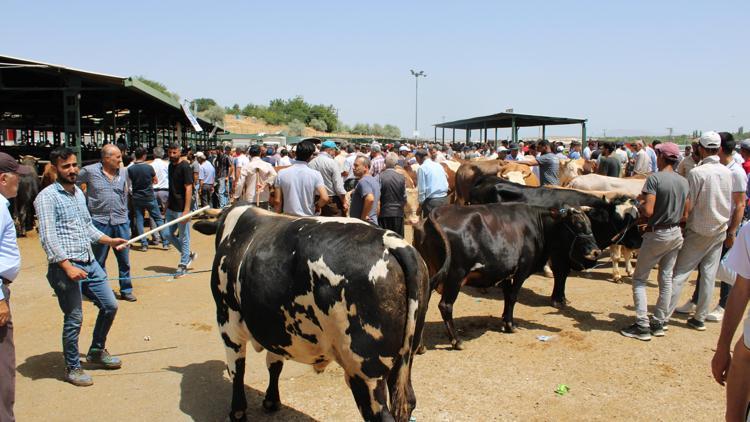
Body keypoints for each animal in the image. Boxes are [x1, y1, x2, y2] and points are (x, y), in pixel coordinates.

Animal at [194, 203, 428, 420]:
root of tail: (391, 242)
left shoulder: (227, 322)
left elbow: (236, 370)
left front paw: (237, 412)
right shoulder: (276, 329)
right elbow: (274, 364)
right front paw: (271, 400)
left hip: (364, 371)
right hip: (403, 359)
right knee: (407, 401)